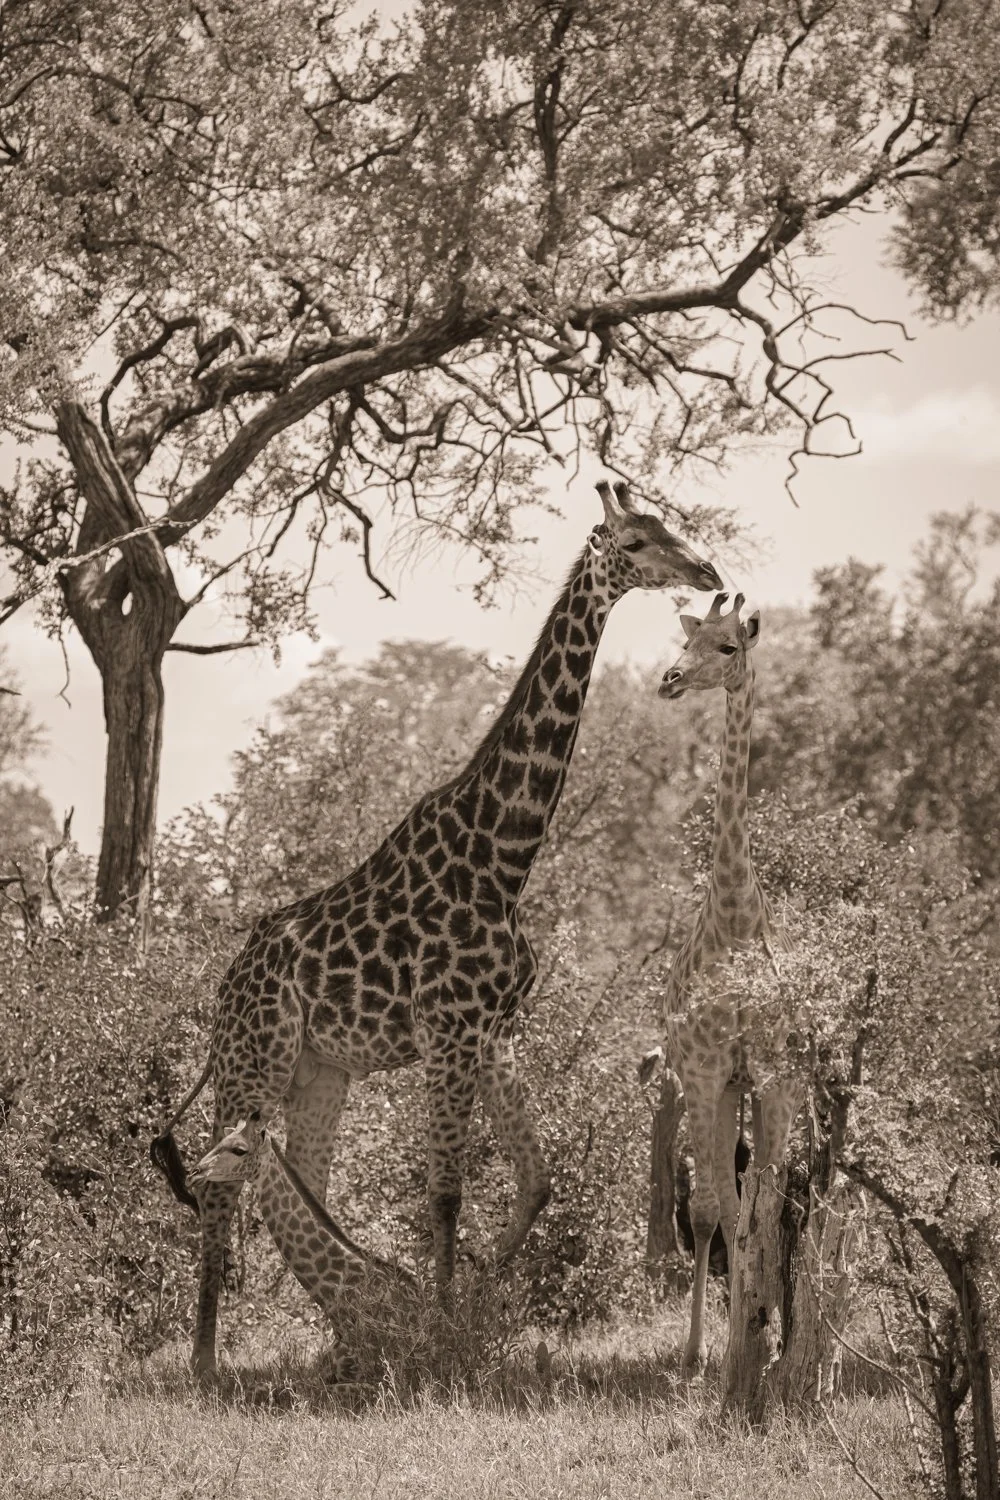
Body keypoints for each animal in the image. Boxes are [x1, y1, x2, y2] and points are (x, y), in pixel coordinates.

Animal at [156, 480, 723, 1382]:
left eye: (669, 520)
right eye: (637, 539)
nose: (706, 570)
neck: (504, 852)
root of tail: (223, 988)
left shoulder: (493, 1030)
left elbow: (535, 1180)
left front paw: (472, 1295)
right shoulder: (450, 1029)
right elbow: (447, 1190)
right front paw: (448, 1327)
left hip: (321, 1069)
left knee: (300, 1176)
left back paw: (333, 1336)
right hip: (257, 1056)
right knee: (218, 1182)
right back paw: (209, 1358)